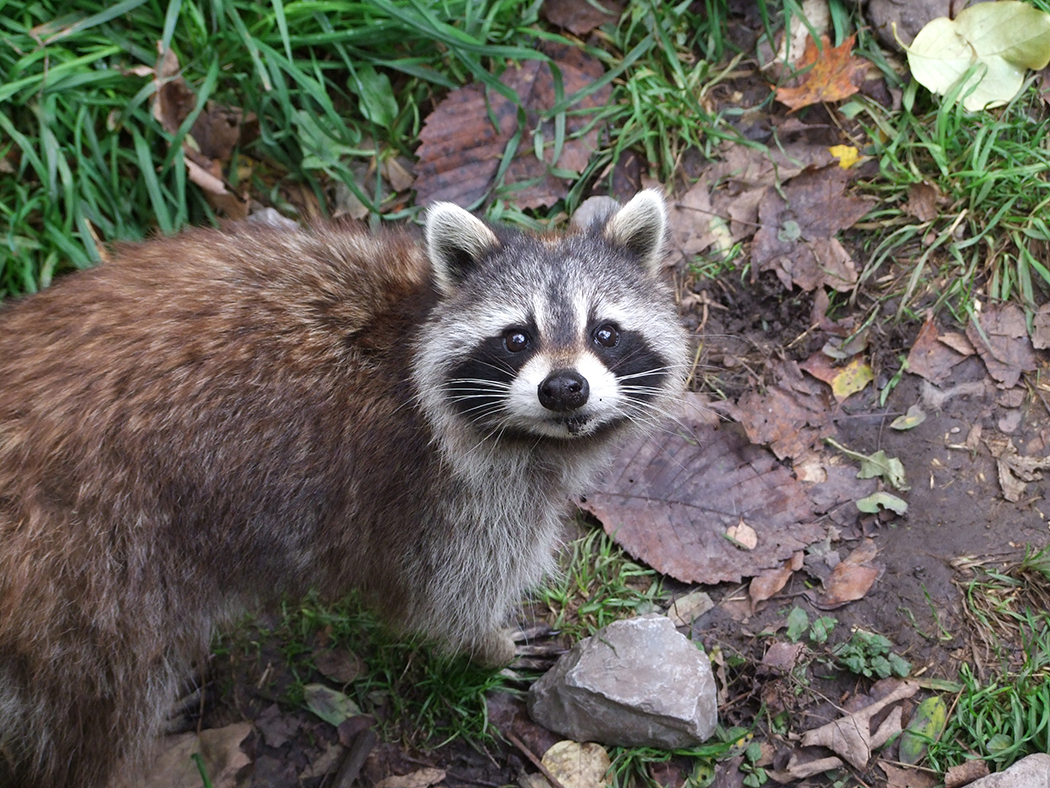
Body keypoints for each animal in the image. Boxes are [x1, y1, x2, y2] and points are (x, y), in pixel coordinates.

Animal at [0, 191, 688, 788]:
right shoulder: (443, 491)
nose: (564, 388)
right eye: (517, 337)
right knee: (100, 709)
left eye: (605, 332)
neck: (411, 326)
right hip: (93, 577)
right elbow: (445, 594)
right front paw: (485, 645)